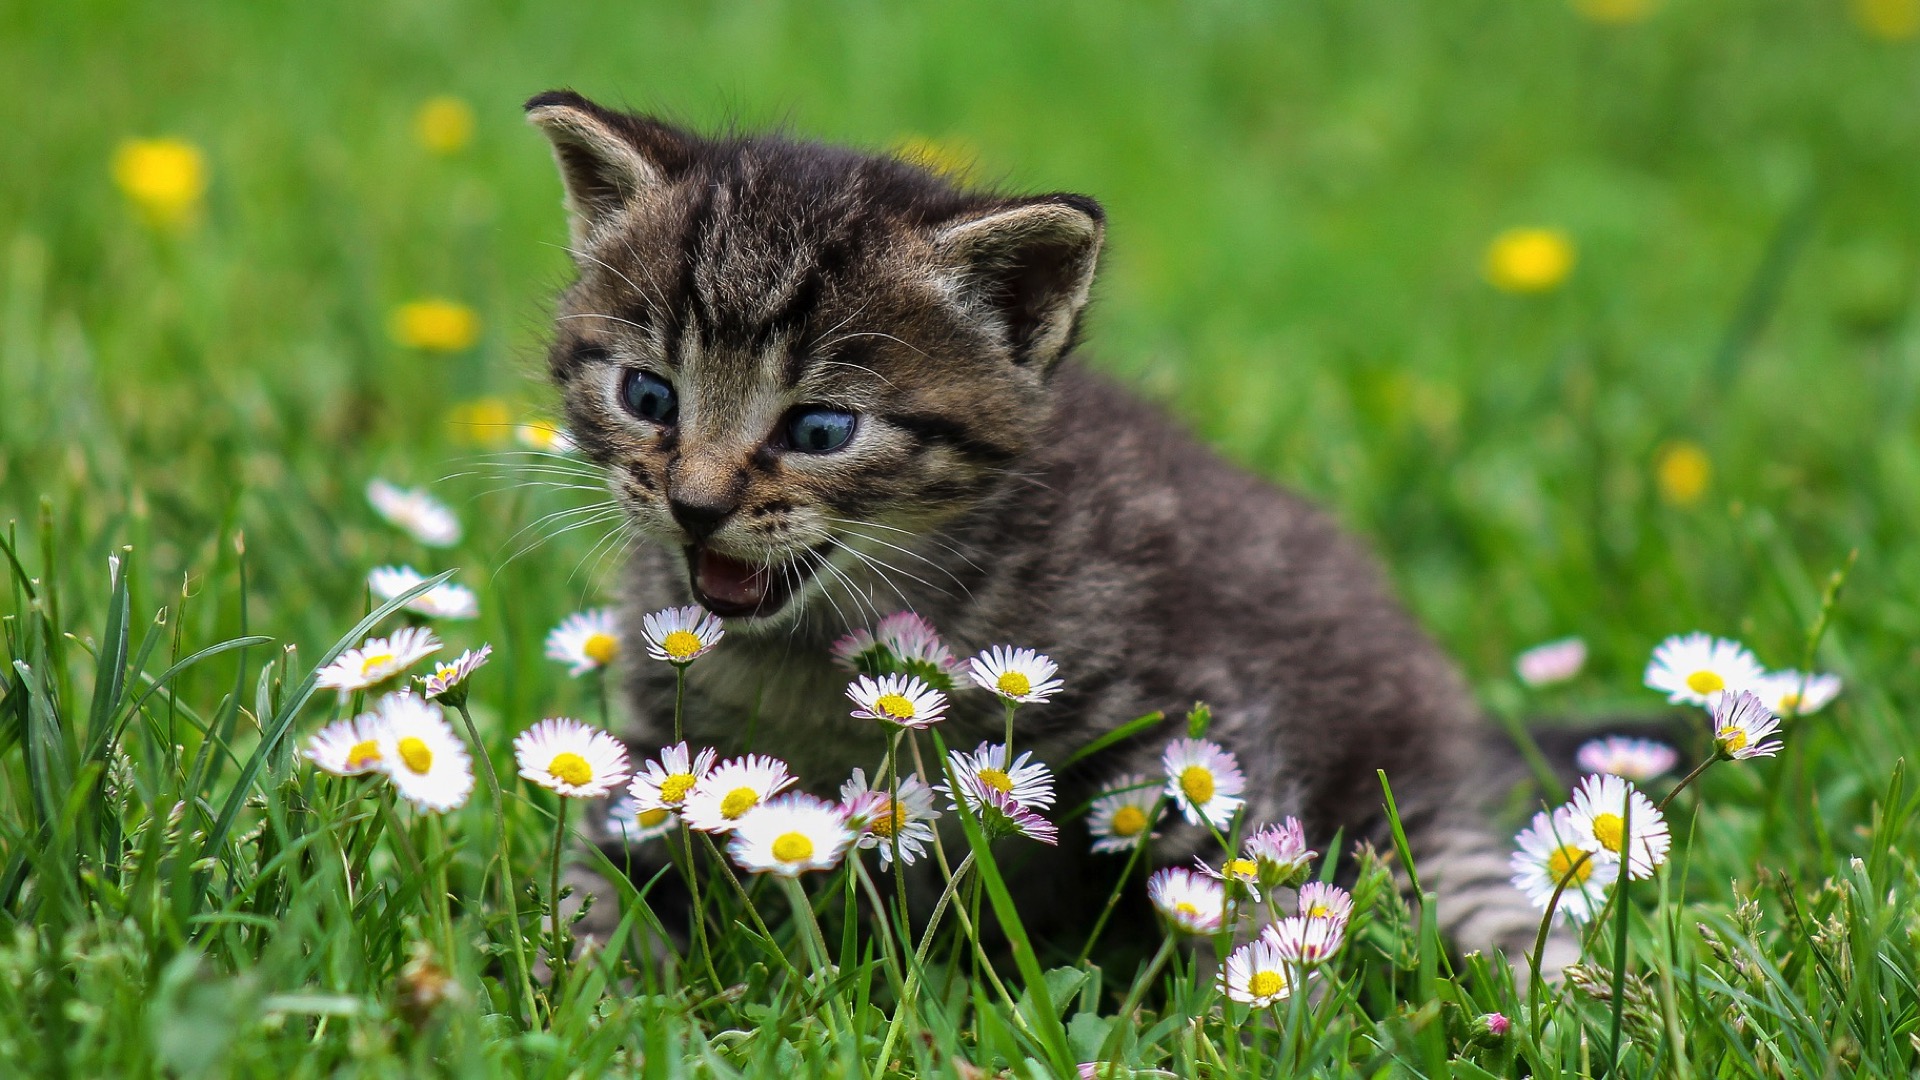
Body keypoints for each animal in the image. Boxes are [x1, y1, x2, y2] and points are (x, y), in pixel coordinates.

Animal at [526, 88, 1543, 953]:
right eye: (649, 396)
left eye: (820, 429)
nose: (695, 505)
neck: (813, 652)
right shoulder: (662, 747)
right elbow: (598, 867)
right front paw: (590, 968)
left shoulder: (1200, 715)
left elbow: (1240, 882)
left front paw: (1249, 1008)